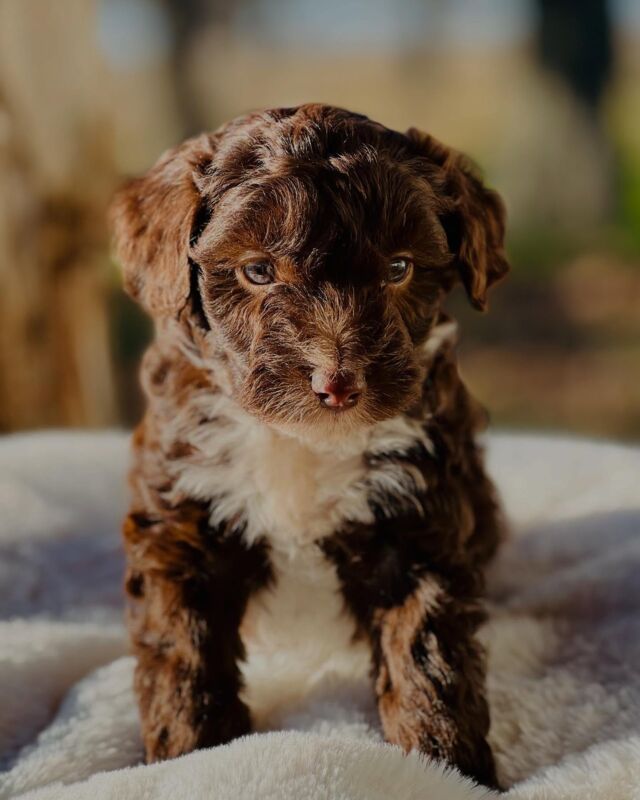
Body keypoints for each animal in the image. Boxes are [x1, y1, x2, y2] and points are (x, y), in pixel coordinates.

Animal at [110, 101, 510, 788]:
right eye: (258, 271)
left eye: (399, 268)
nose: (337, 383)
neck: (296, 442)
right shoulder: (181, 517)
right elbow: (182, 649)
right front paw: (185, 756)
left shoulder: (419, 517)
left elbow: (428, 653)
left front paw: (449, 766)